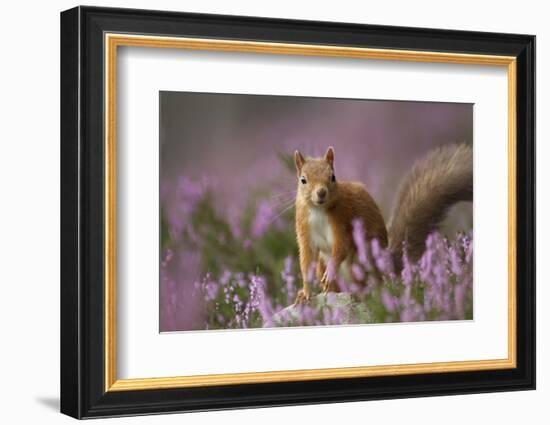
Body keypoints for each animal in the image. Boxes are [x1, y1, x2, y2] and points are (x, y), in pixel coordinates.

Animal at [296, 144, 472, 304]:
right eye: (303, 180)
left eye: (332, 177)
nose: (321, 192)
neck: (318, 210)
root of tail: (384, 264)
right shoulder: (304, 229)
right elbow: (306, 260)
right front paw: (305, 292)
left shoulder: (343, 219)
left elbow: (342, 246)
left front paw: (330, 272)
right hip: (323, 264)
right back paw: (331, 291)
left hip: (360, 260)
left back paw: (359, 294)